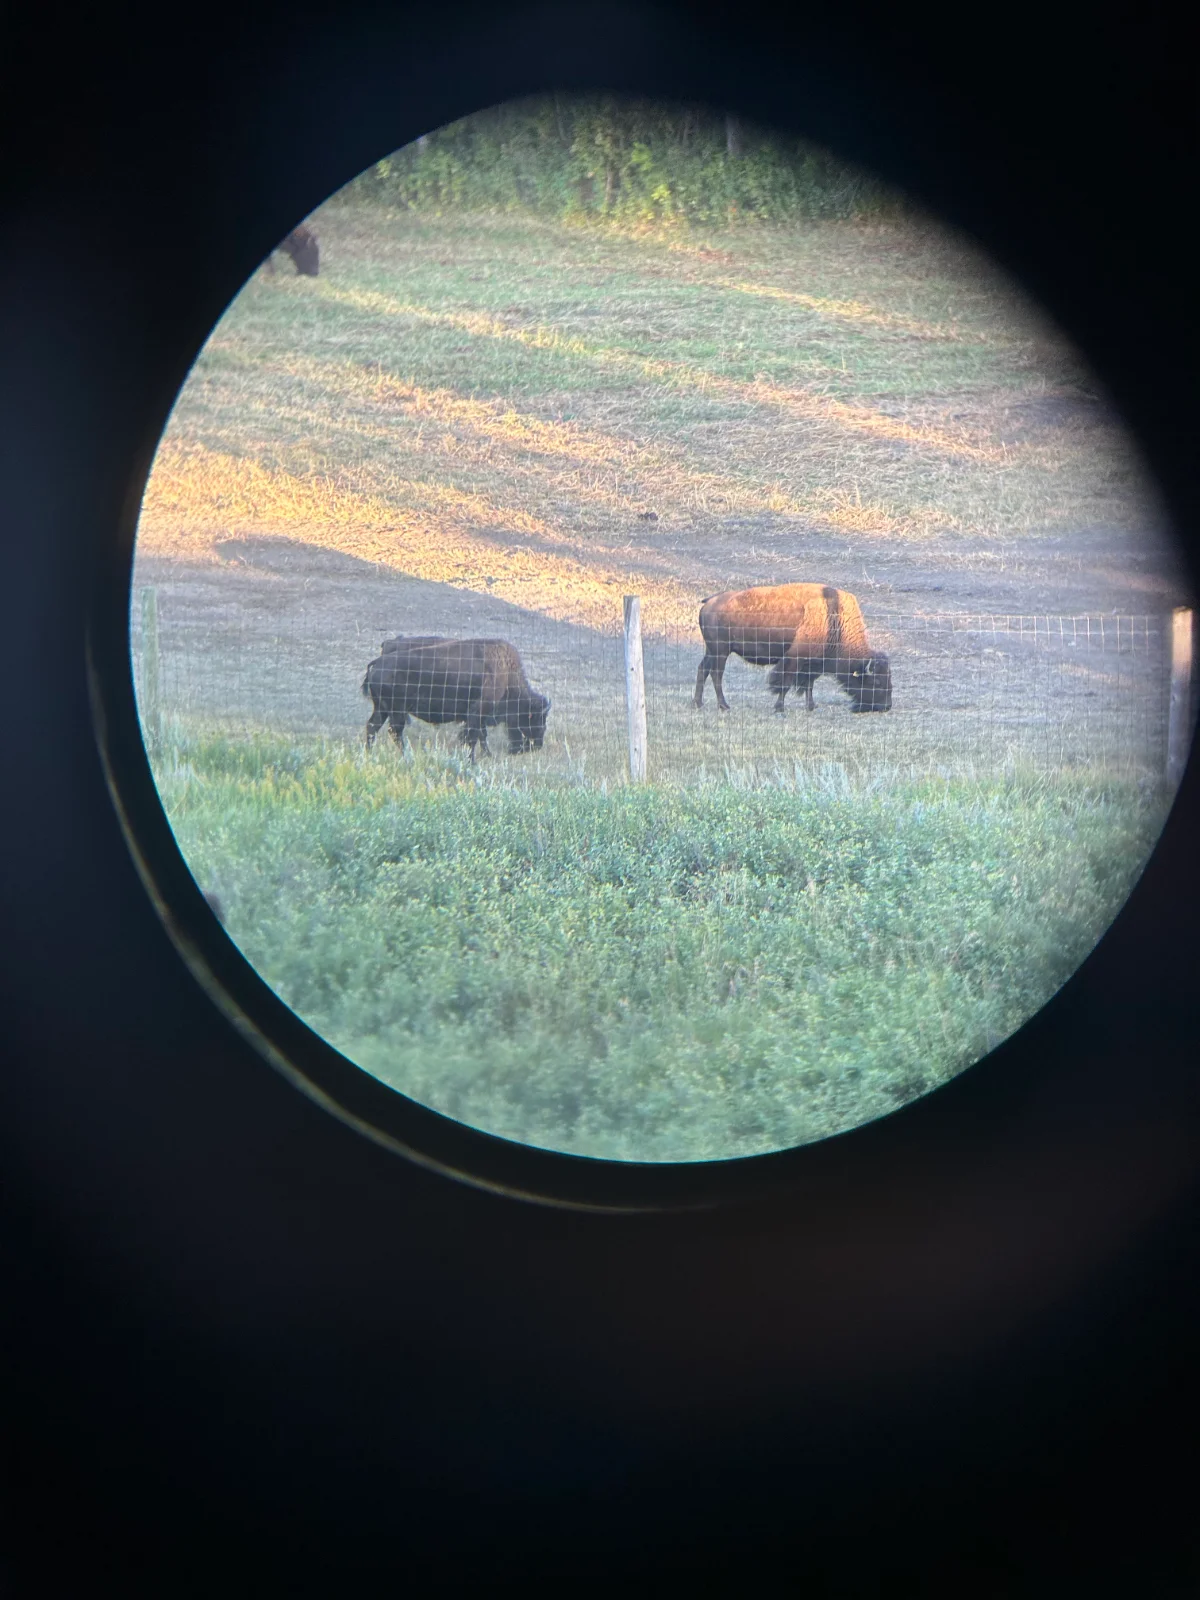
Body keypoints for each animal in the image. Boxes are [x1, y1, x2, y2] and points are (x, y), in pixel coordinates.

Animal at [362, 637, 551, 761]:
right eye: (535, 719)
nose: (536, 746)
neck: (505, 673)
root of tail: (378, 663)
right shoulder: (478, 712)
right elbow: (473, 736)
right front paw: (472, 761)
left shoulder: (478, 715)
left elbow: (480, 735)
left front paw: (486, 755)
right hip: (396, 711)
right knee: (394, 731)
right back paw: (405, 757)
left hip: (382, 709)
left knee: (373, 727)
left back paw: (370, 754)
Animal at [694, 582, 892, 713]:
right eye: (876, 682)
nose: (886, 706)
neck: (834, 618)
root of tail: (710, 601)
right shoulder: (795, 659)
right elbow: (786, 683)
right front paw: (779, 708)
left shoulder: (813, 663)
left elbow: (809, 684)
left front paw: (811, 706)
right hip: (721, 651)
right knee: (716, 674)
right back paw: (724, 706)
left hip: (712, 650)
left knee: (703, 669)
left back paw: (698, 703)